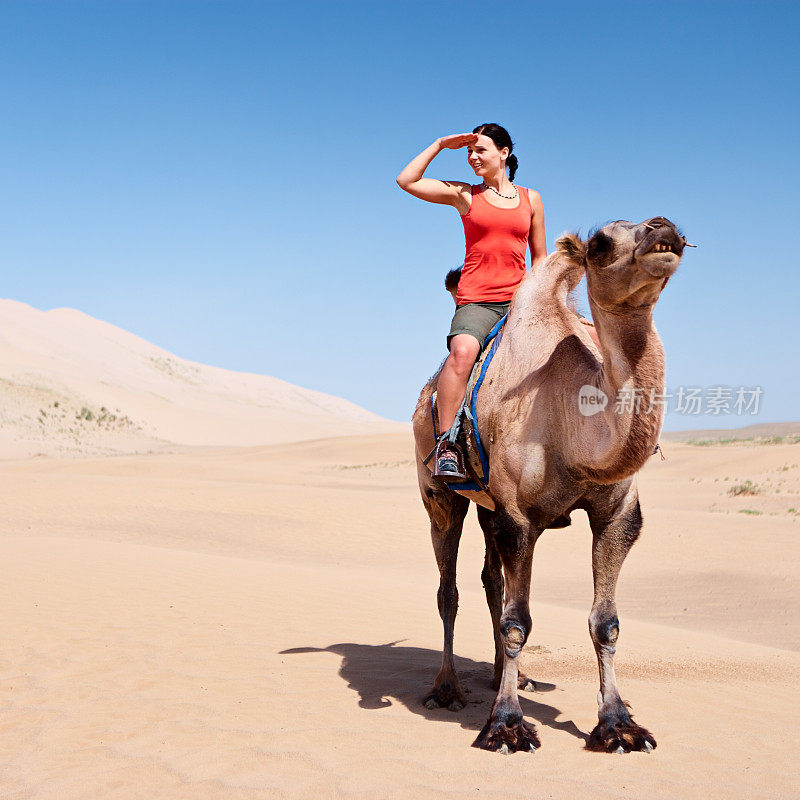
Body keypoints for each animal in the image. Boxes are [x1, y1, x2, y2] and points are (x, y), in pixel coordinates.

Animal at [412, 216, 688, 752]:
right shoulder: (519, 516)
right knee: (448, 589)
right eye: (600, 243)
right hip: (439, 494)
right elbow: (518, 622)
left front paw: (619, 725)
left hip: (487, 505)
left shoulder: (616, 514)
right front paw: (506, 726)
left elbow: (606, 623)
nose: (662, 229)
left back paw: (512, 677)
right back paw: (446, 689)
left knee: (491, 582)